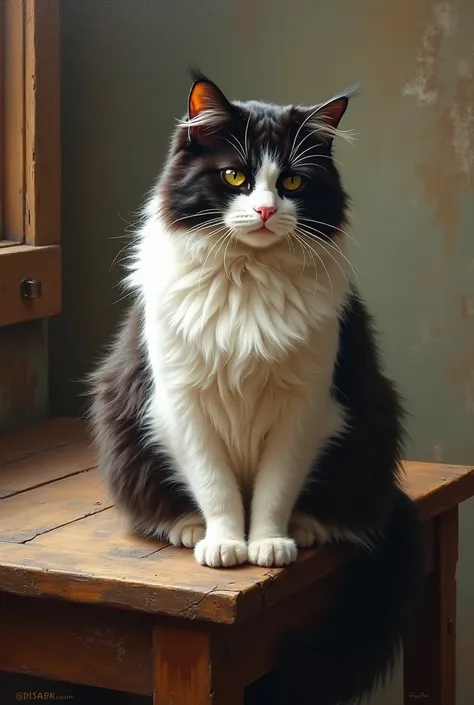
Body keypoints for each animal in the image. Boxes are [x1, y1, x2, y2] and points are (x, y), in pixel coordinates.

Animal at [90, 71, 424, 704]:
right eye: (234, 177)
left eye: (292, 181)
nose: (267, 210)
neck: (248, 279)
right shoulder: (180, 403)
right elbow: (216, 485)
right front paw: (225, 543)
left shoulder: (307, 407)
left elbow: (274, 487)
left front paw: (267, 543)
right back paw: (187, 528)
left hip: (370, 424)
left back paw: (308, 527)